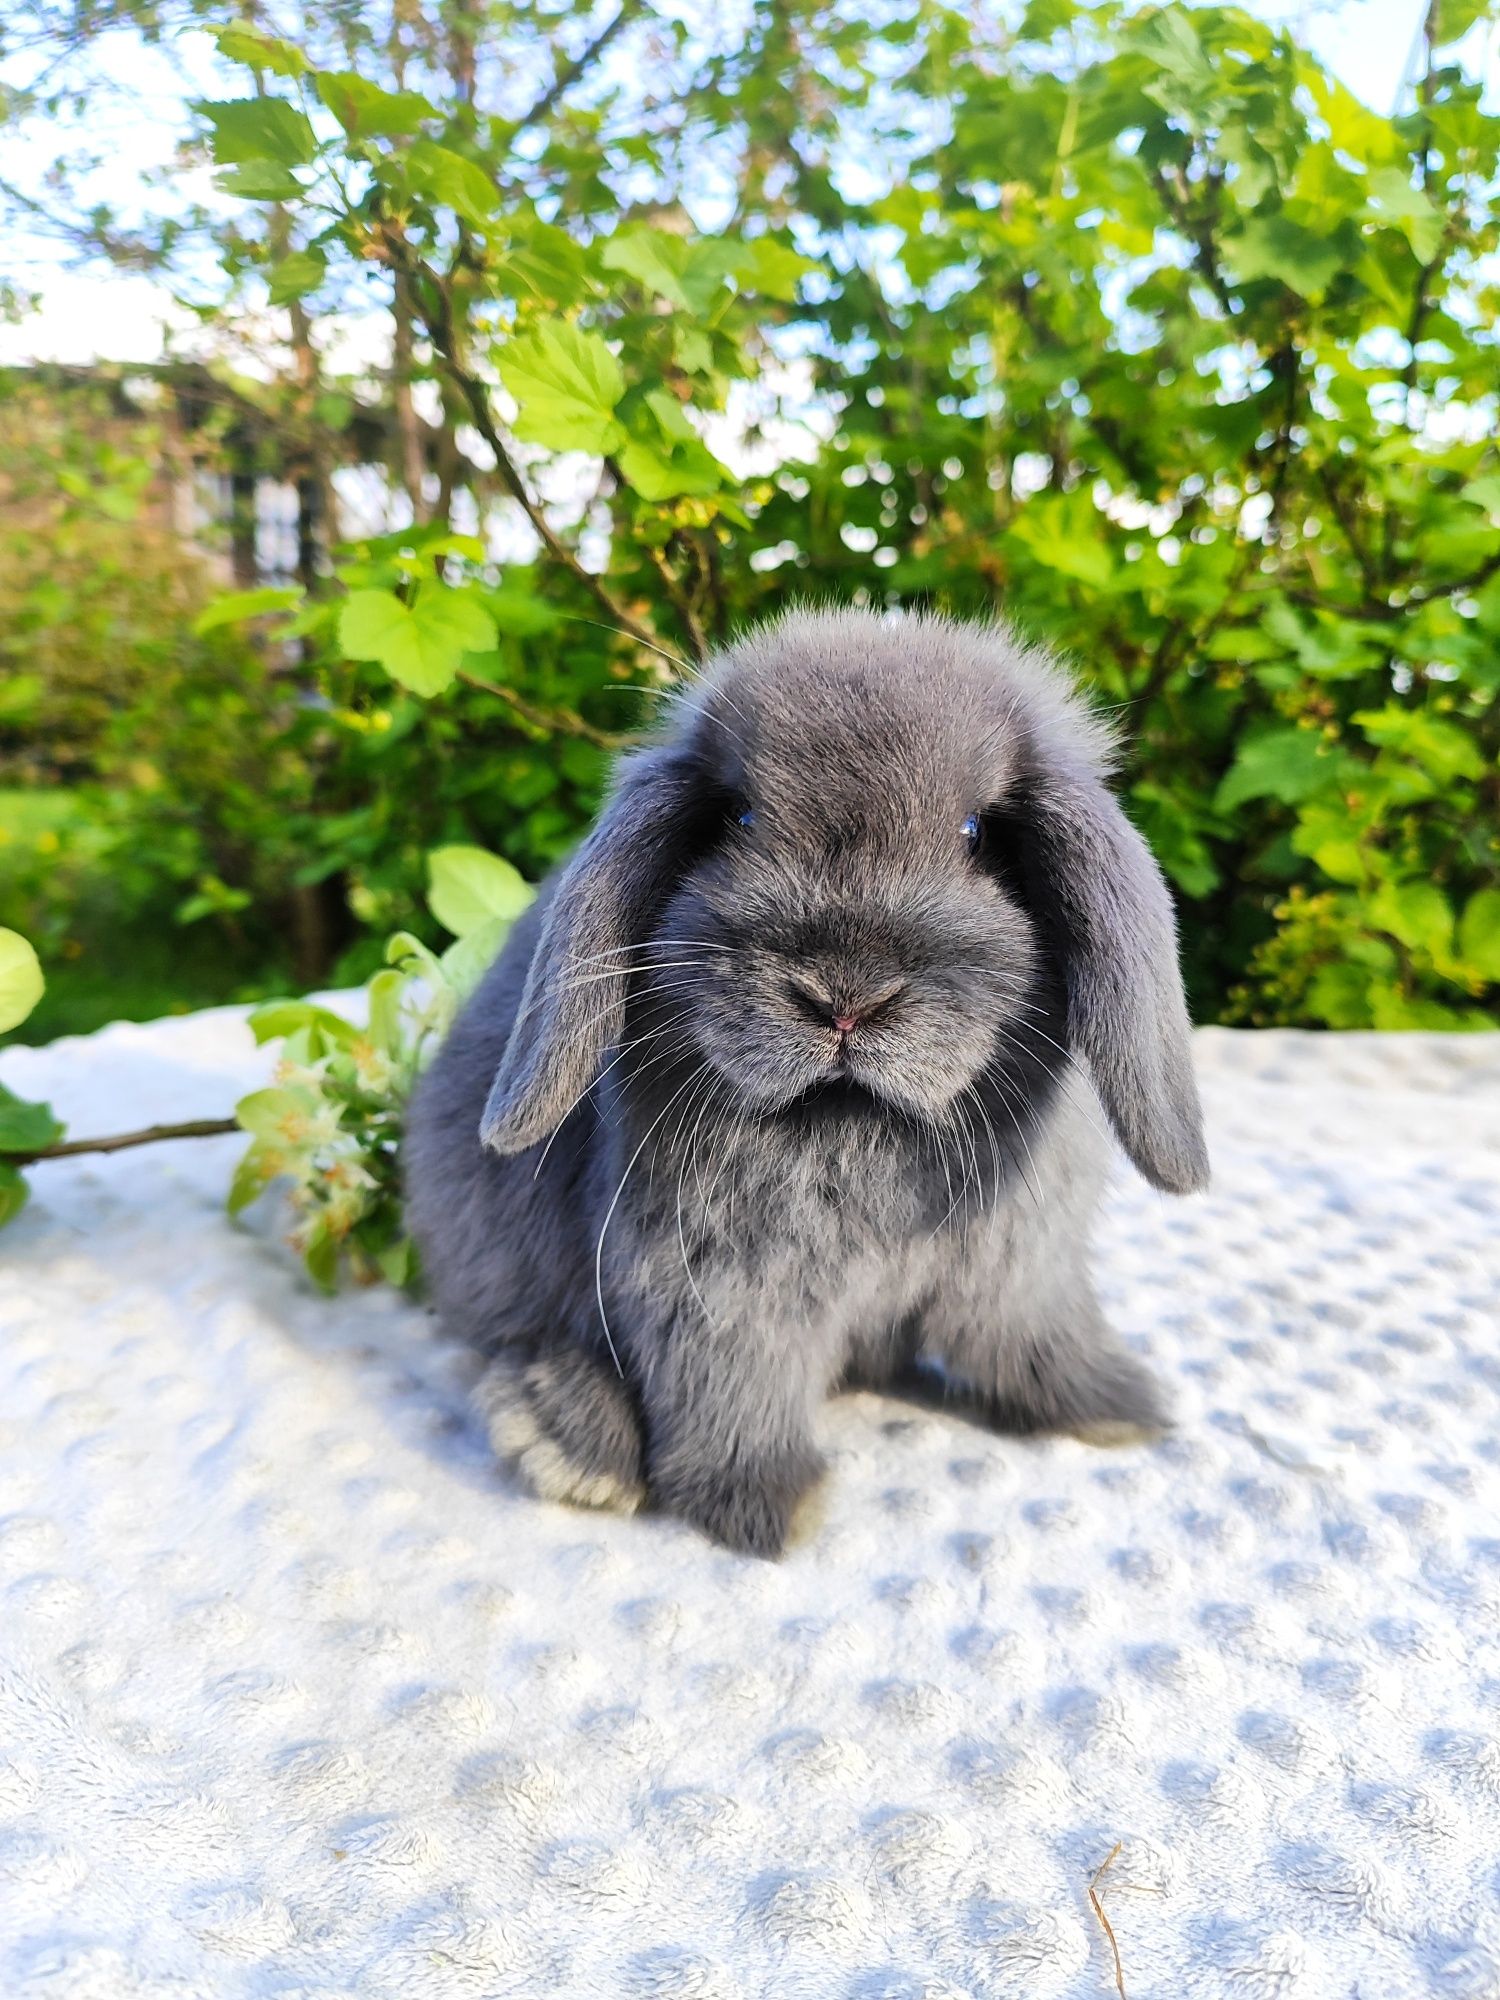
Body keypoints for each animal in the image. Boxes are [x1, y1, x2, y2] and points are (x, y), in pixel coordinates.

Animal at [406, 608, 1216, 1560]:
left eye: (977, 833)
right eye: (739, 815)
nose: (843, 996)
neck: (854, 1117)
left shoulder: (1018, 1274)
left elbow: (1033, 1341)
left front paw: (1116, 1407)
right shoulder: (718, 1293)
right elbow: (733, 1389)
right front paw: (764, 1506)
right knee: (527, 1342)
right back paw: (576, 1450)